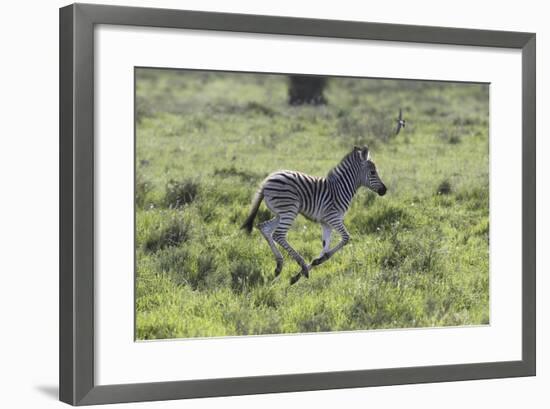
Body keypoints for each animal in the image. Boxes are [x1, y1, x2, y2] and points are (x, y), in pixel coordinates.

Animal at [242, 146, 388, 284]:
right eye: (373, 172)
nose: (384, 190)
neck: (341, 189)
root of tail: (267, 181)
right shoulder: (333, 217)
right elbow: (346, 238)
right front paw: (309, 267)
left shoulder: (326, 223)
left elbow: (325, 248)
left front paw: (304, 271)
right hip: (289, 210)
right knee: (278, 235)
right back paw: (300, 264)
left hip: (280, 213)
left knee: (264, 228)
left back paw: (279, 266)